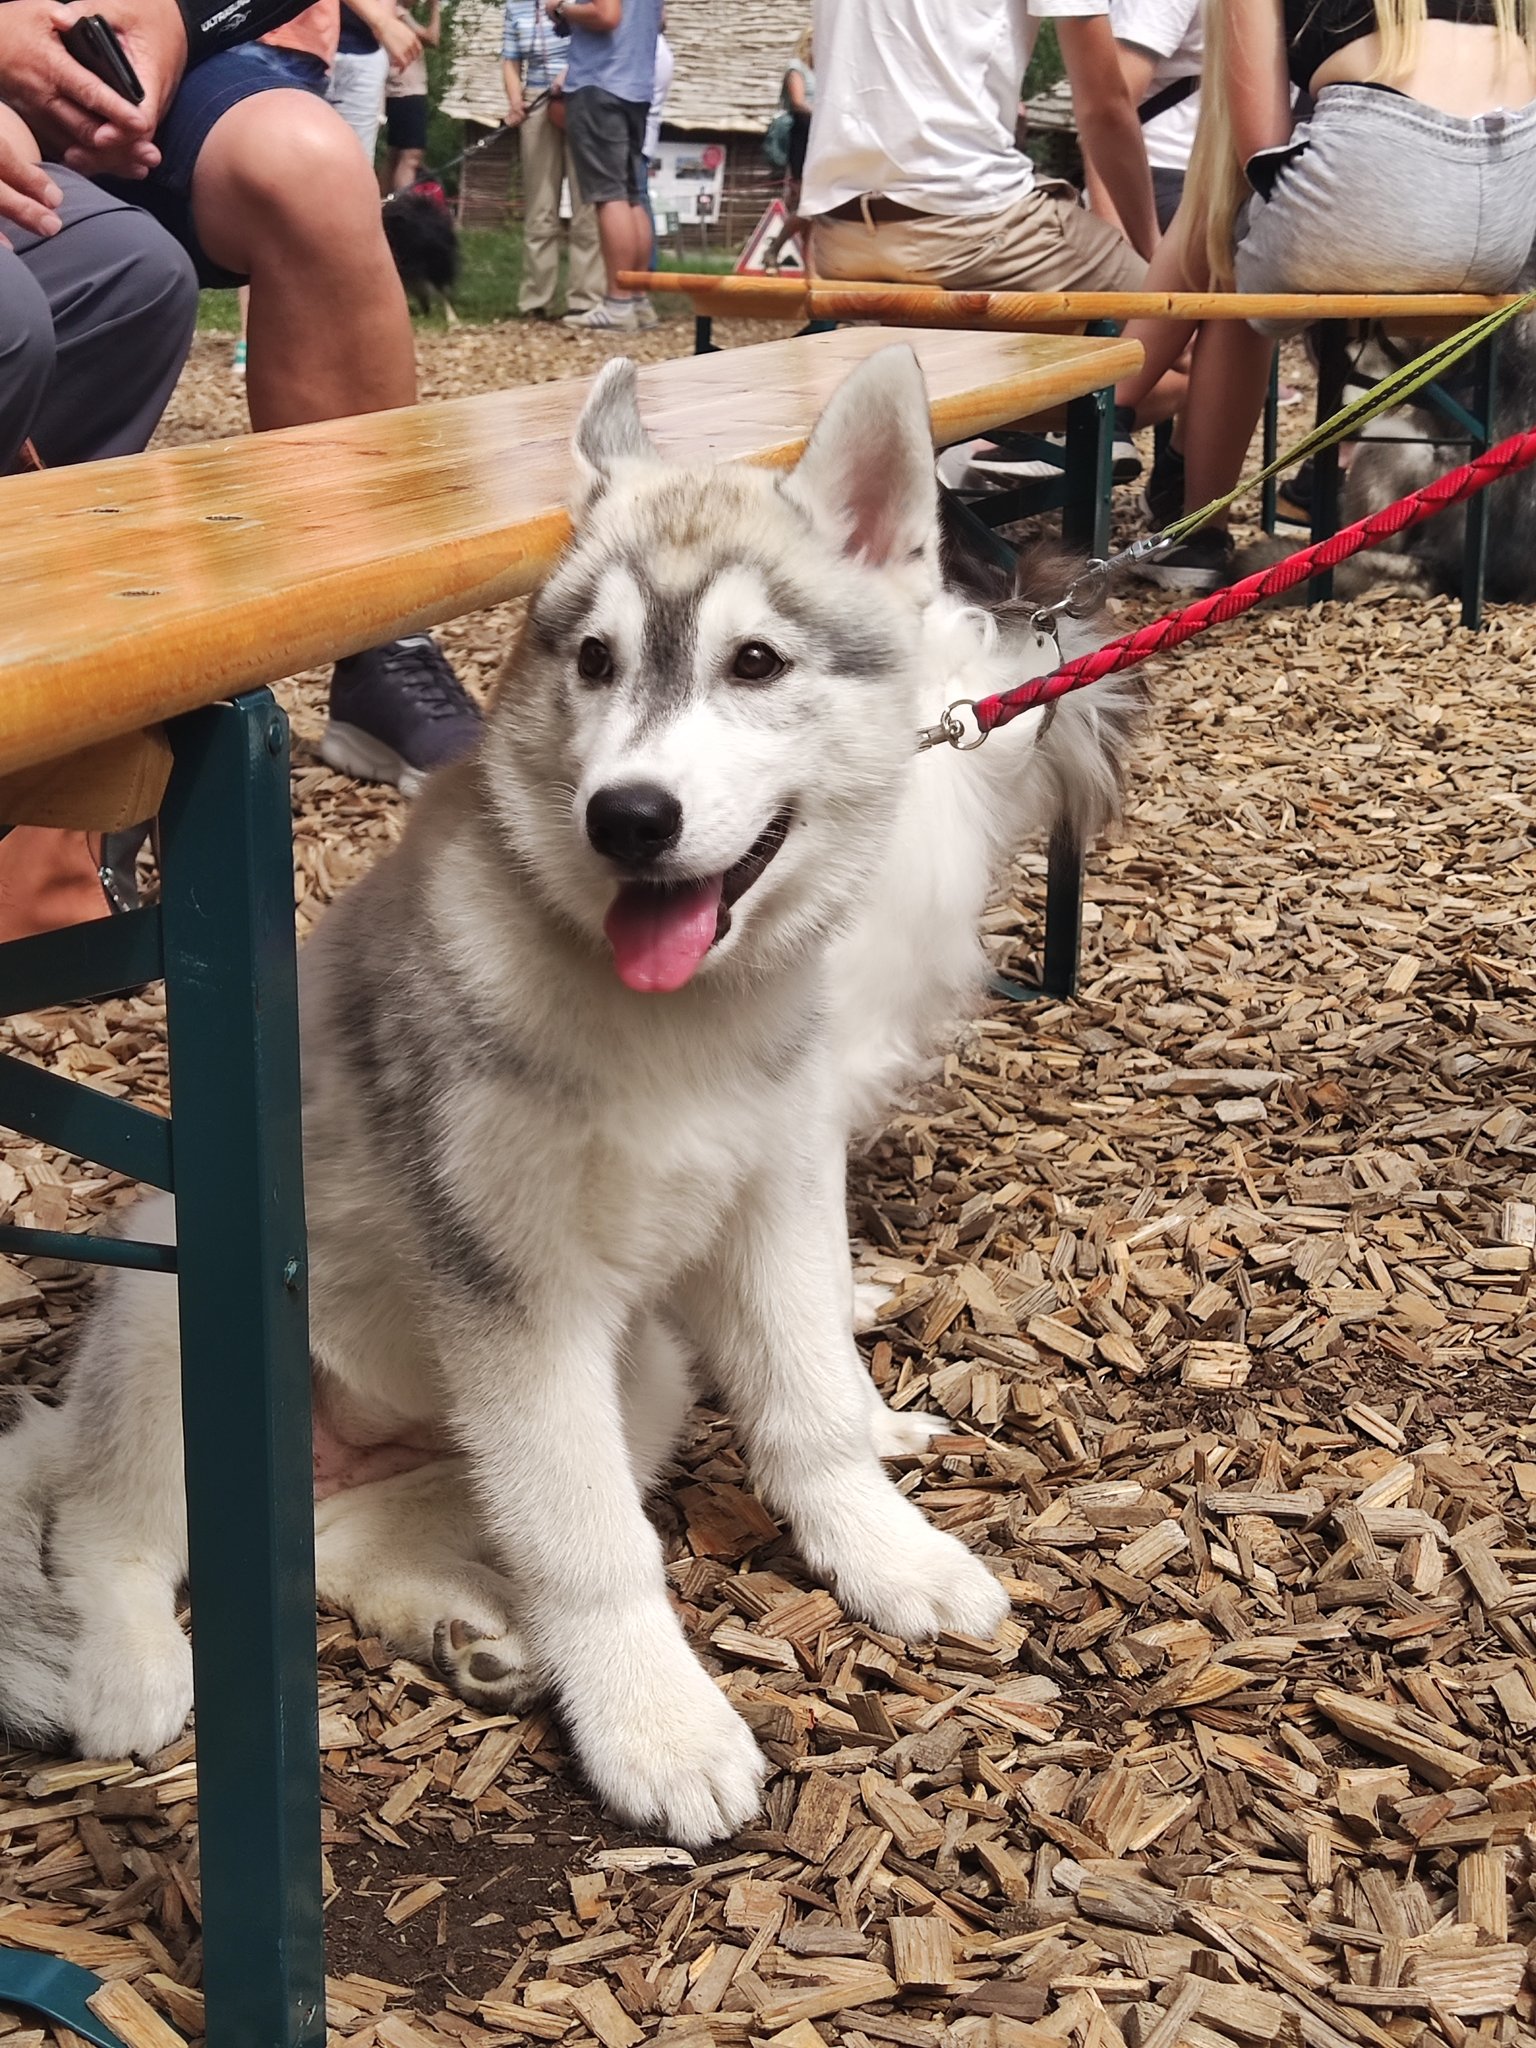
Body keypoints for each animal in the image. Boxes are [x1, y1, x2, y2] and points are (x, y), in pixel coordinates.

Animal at [0, 349, 1137, 1846]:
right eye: (593, 660)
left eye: (755, 663)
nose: (629, 818)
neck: (673, 1023)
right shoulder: (518, 1294)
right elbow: (597, 1543)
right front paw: (659, 1729)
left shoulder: (774, 1197)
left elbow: (811, 1402)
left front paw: (886, 1550)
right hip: (176, 1315)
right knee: (110, 1523)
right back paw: (132, 1672)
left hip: (626, 1368)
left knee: (336, 1541)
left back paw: (467, 1632)